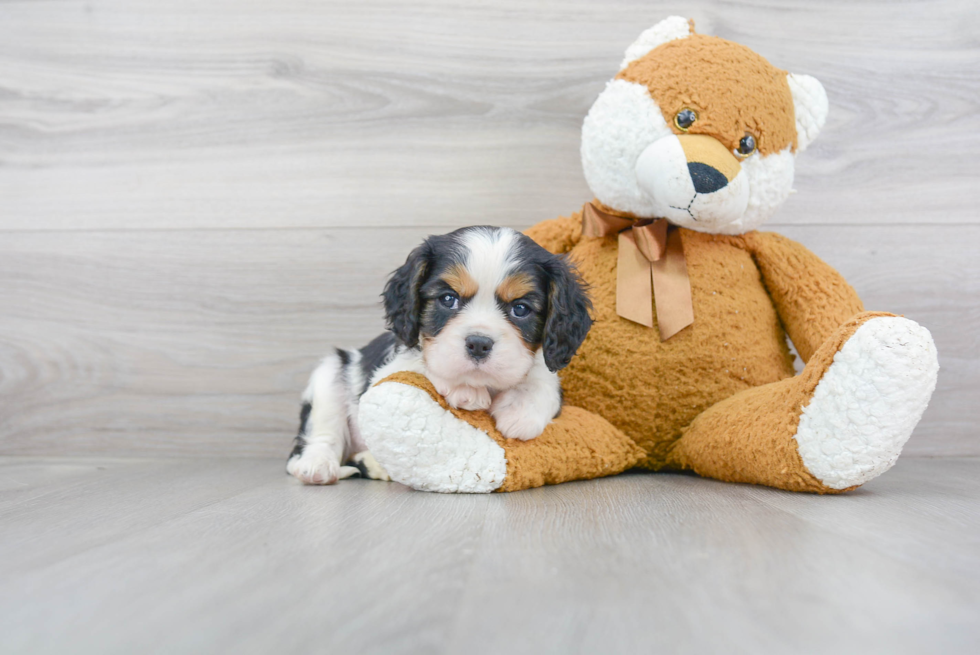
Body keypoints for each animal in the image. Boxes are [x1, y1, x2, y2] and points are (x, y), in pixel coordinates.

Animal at [288, 226, 592, 486]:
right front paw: (464, 390)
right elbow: (425, 362)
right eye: (448, 299)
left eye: (520, 308)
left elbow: (541, 379)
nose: (479, 344)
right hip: (330, 373)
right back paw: (317, 465)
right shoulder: (387, 371)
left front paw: (521, 410)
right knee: (319, 437)